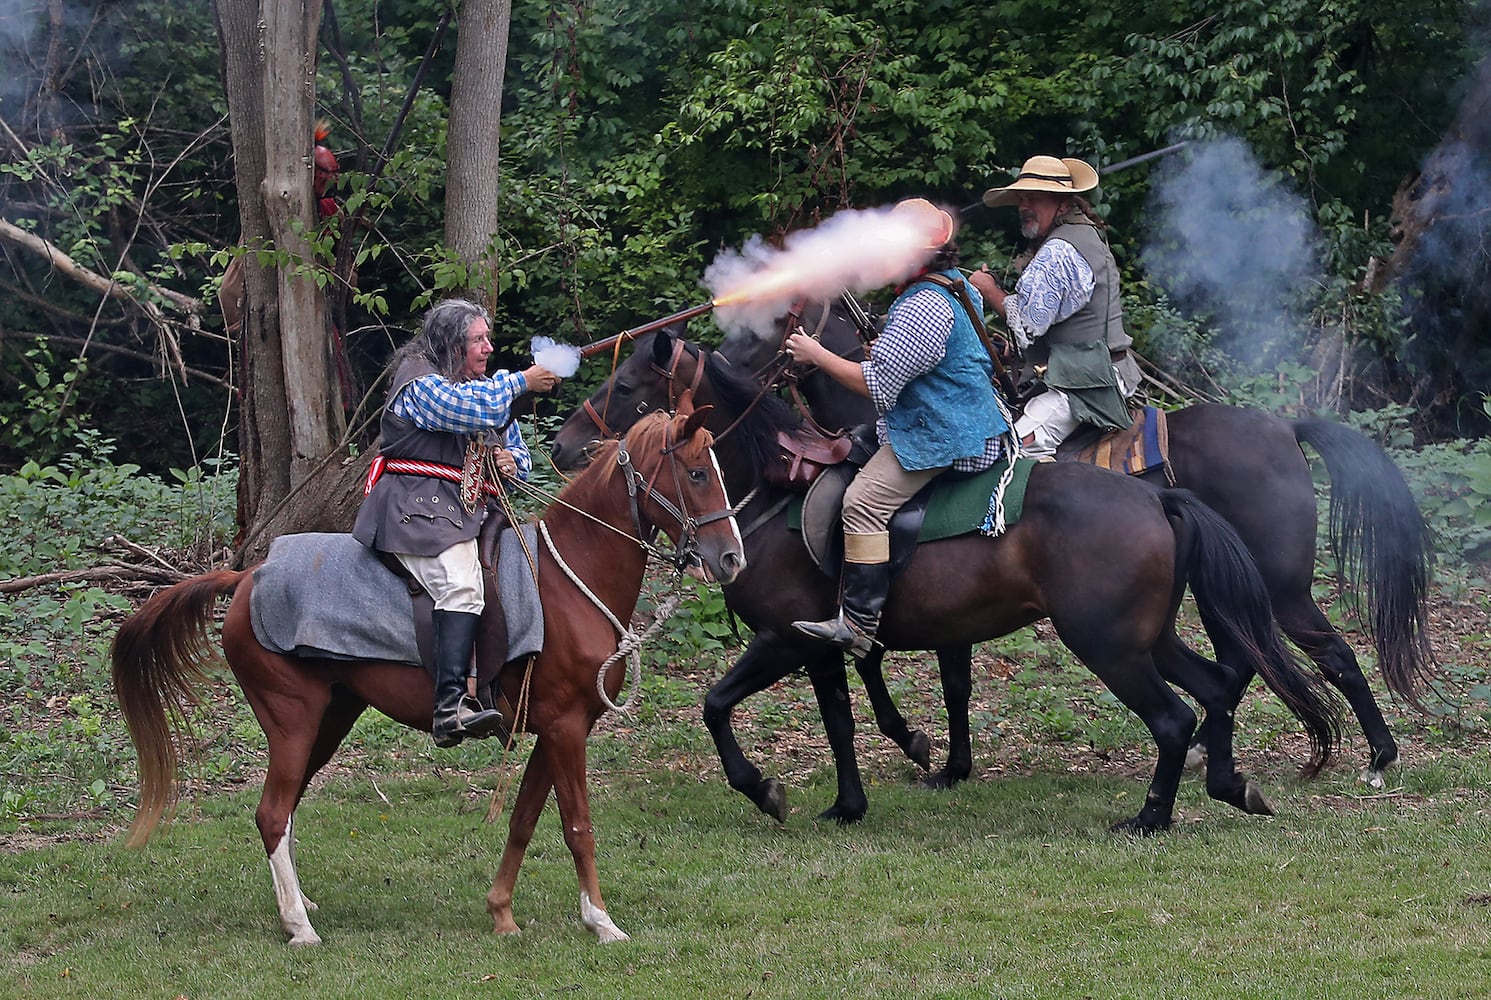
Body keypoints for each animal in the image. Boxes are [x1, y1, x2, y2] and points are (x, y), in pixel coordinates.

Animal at [110, 402, 745, 941]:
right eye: (695, 473)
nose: (731, 558)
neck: (569, 581)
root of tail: (247, 578)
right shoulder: (565, 729)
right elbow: (577, 826)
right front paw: (601, 921)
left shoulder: (555, 730)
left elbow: (524, 820)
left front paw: (502, 912)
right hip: (294, 722)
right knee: (271, 813)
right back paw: (298, 926)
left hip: (329, 719)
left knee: (284, 813)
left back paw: (298, 904)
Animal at [551, 332, 1341, 834]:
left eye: (626, 386)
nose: (561, 445)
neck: (773, 490)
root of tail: (1157, 499)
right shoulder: (822, 645)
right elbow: (843, 720)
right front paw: (851, 803)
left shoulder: (782, 640)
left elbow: (716, 706)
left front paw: (766, 790)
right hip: (1147, 639)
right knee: (1217, 688)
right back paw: (1229, 784)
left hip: (1109, 647)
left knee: (1176, 717)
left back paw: (1151, 817)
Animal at [709, 301, 1431, 786]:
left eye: (767, 329)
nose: (715, 364)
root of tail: (1285, 429)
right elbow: (943, 680)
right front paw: (944, 759)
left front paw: (928, 751)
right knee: (1244, 661)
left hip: (1280, 590)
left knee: (1332, 653)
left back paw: (1378, 755)